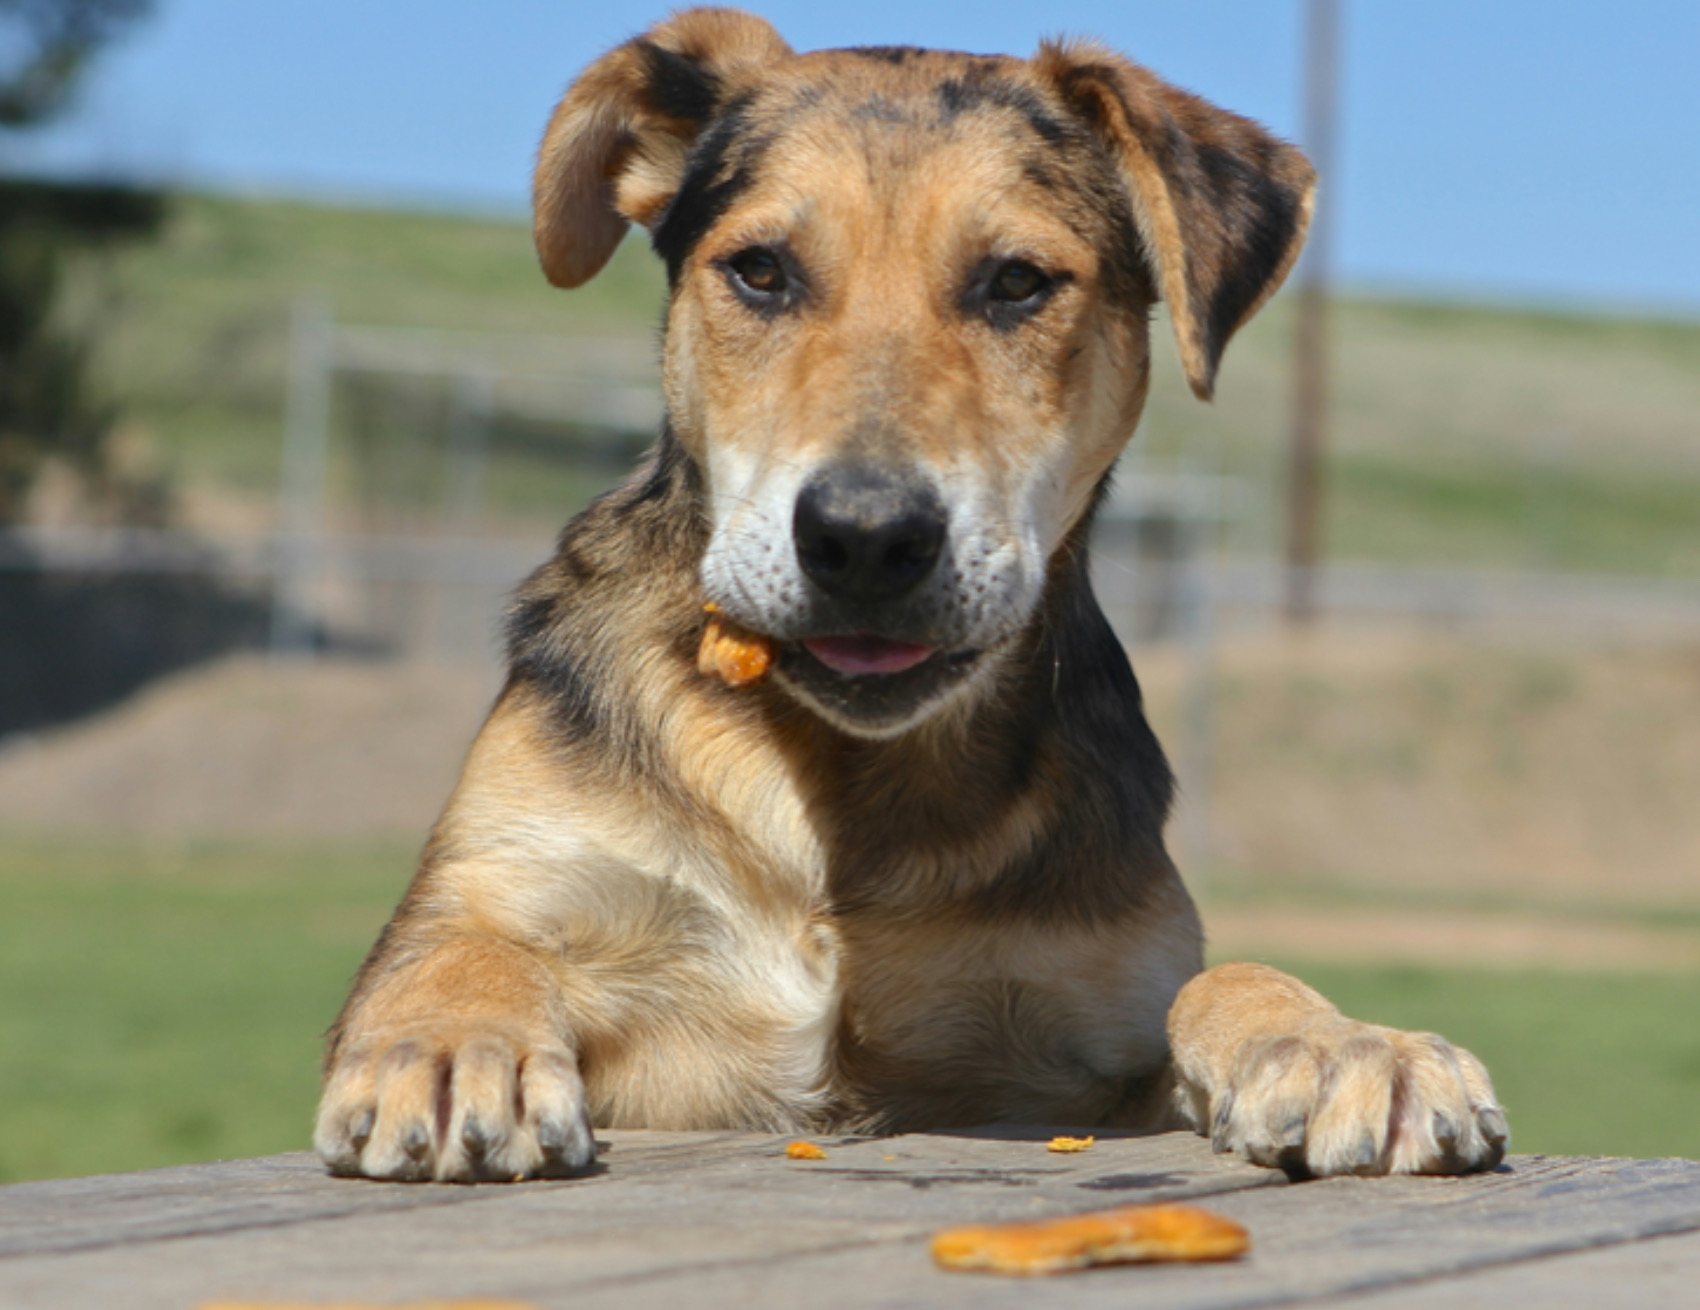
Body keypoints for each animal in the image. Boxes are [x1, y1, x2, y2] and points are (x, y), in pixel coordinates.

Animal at [312, 5, 1509, 1182]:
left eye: (1016, 282)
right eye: (758, 271)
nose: (864, 538)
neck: (836, 781)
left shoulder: (1082, 1034)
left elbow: (1217, 977)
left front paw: (1342, 1043)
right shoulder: (507, 882)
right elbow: (458, 952)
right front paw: (455, 1044)